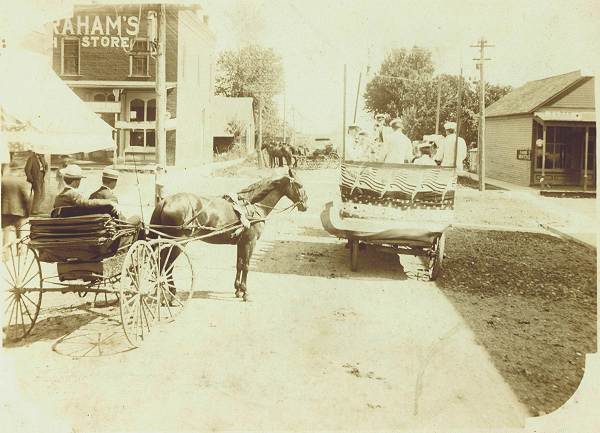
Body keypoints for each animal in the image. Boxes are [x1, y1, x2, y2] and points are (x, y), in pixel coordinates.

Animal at [149, 167, 310, 302]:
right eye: (299, 185)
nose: (305, 205)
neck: (252, 206)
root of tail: (165, 201)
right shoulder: (250, 242)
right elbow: (246, 266)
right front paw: (246, 293)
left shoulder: (241, 243)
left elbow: (239, 264)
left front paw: (238, 290)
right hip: (178, 243)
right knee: (166, 264)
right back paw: (171, 295)